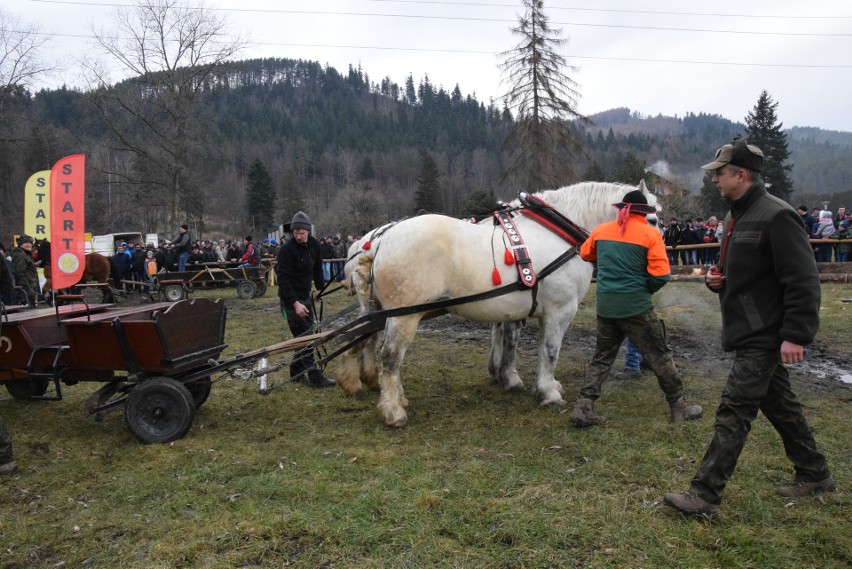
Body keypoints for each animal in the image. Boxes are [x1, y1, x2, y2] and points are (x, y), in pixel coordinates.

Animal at [336, 180, 656, 424]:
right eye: (652, 220)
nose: (656, 262)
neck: (559, 232)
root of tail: (381, 240)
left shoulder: (520, 309)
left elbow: (514, 344)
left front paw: (517, 380)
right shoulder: (559, 311)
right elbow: (550, 351)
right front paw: (548, 392)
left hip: (383, 311)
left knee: (366, 342)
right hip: (404, 315)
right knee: (390, 356)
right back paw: (393, 411)